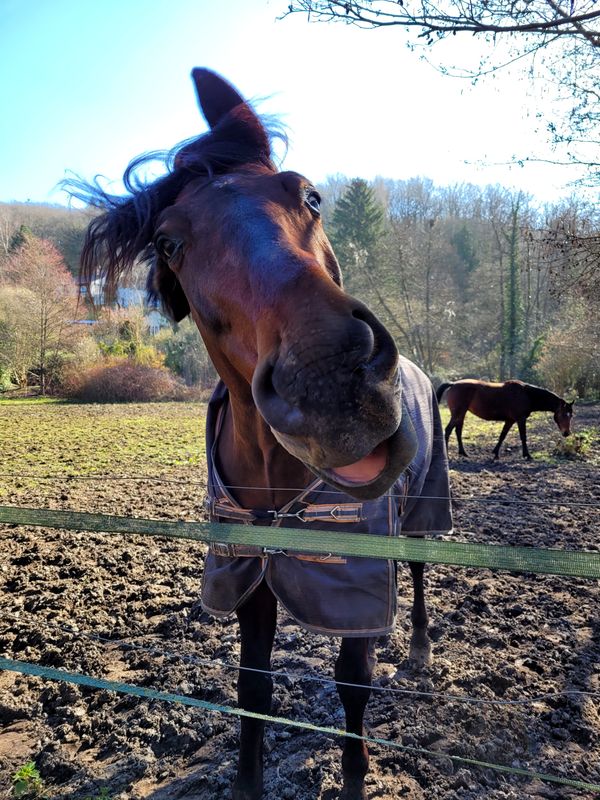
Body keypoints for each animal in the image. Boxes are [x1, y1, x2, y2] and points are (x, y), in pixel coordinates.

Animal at [436, 378, 572, 460]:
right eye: (564, 414)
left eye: (571, 415)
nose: (567, 433)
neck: (526, 394)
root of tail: (453, 384)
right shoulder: (520, 419)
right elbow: (523, 437)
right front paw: (527, 455)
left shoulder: (510, 420)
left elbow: (502, 435)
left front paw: (495, 453)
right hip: (458, 413)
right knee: (448, 430)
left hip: (461, 414)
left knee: (458, 431)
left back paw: (463, 453)